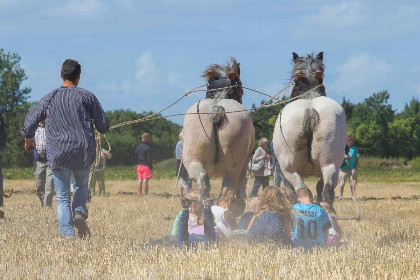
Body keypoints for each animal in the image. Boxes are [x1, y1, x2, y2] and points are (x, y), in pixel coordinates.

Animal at [272, 52, 348, 205]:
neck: (309, 96)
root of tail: (310, 109)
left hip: (288, 169)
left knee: (301, 191)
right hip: (330, 164)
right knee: (326, 192)